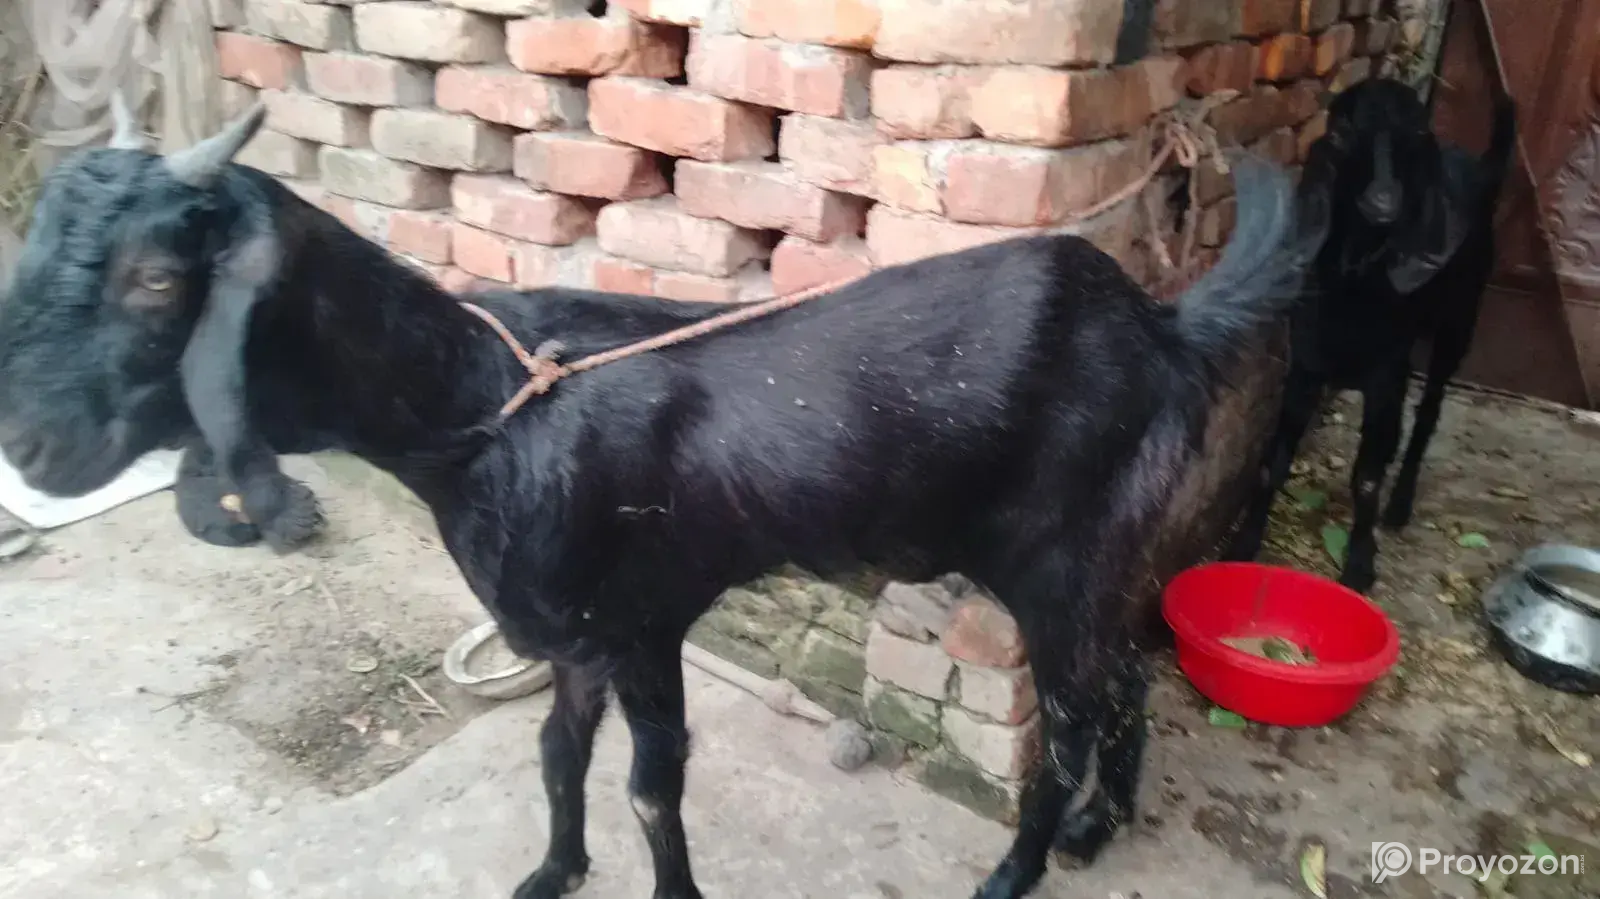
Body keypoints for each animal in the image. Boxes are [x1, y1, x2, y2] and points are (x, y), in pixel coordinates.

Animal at [0, 101, 1325, 899]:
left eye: (157, 276)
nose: (28, 440)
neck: (487, 413)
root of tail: (1157, 322)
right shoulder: (575, 636)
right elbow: (554, 755)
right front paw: (550, 870)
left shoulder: (644, 625)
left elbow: (649, 785)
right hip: (1104, 545)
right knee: (1128, 670)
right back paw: (1103, 825)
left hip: (1059, 551)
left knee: (1068, 712)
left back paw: (1020, 867)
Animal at [1224, 76, 1518, 593]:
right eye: (1342, 133)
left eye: (1417, 134)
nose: (1383, 203)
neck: (1356, 286)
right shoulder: (1306, 367)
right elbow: (1273, 462)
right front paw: (1244, 542)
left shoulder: (1386, 375)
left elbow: (1366, 477)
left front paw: (1359, 564)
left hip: (1458, 324)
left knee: (1427, 414)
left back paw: (1399, 505)